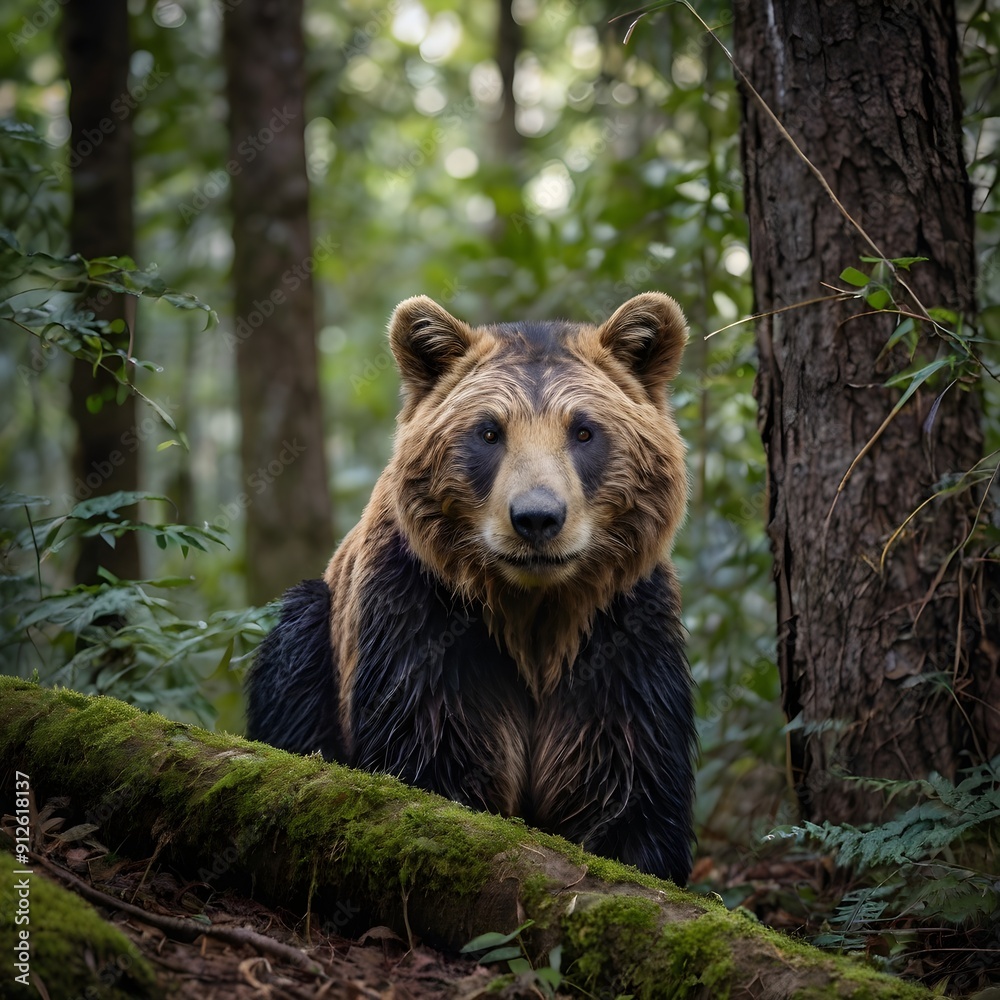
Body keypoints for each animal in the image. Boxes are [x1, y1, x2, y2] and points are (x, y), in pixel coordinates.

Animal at [245, 292, 695, 885]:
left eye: (583, 431)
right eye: (489, 432)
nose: (536, 518)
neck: (532, 613)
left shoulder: (618, 633)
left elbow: (629, 779)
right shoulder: (424, 620)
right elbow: (432, 753)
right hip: (314, 639)